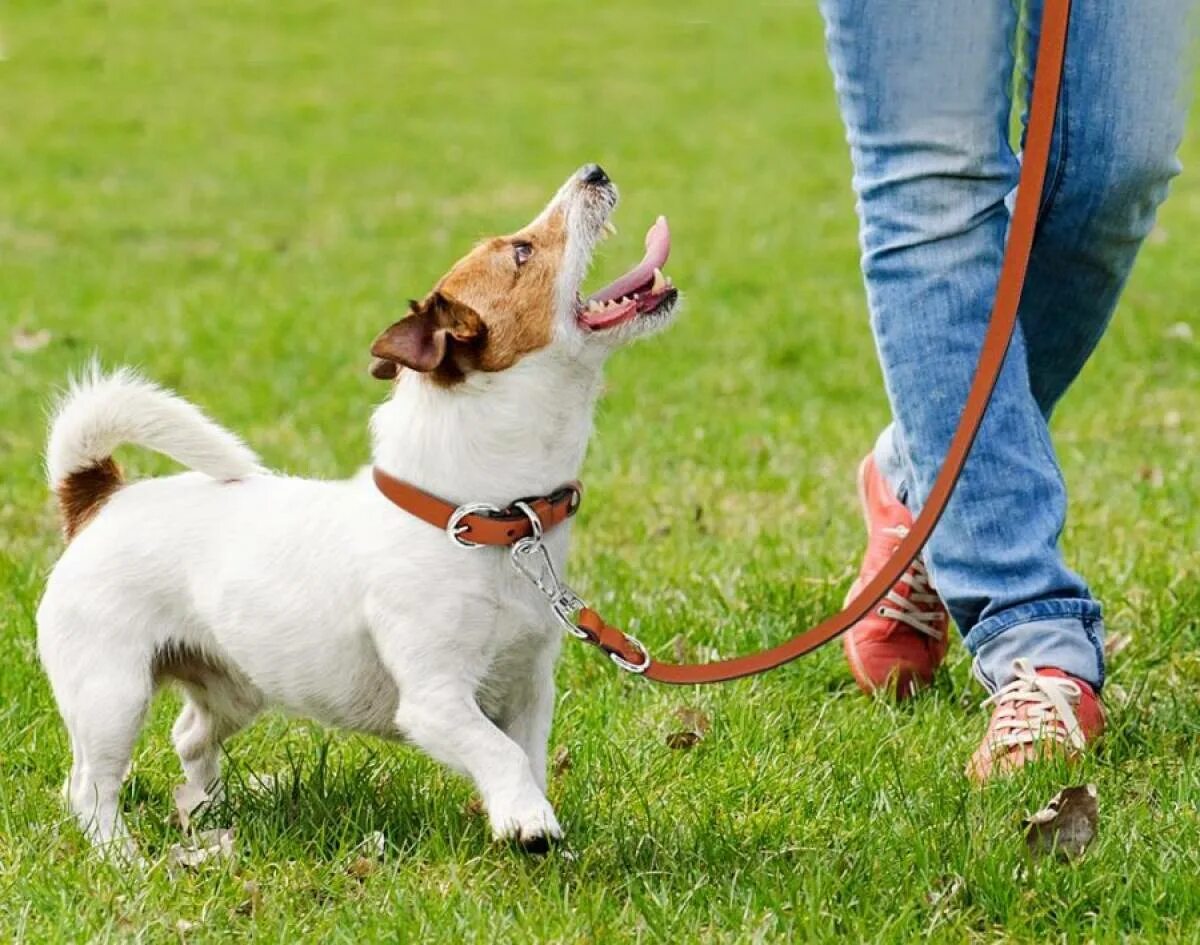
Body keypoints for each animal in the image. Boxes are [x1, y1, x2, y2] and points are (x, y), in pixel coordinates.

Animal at [35, 166, 676, 858]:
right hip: (111, 693)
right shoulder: (434, 700)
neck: (479, 520)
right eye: (522, 252)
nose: (594, 172)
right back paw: (122, 857)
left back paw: (207, 813)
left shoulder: (529, 690)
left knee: (186, 738)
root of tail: (100, 498)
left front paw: (530, 823)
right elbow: (499, 754)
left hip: (233, 686)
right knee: (91, 786)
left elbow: (525, 760)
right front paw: (529, 823)